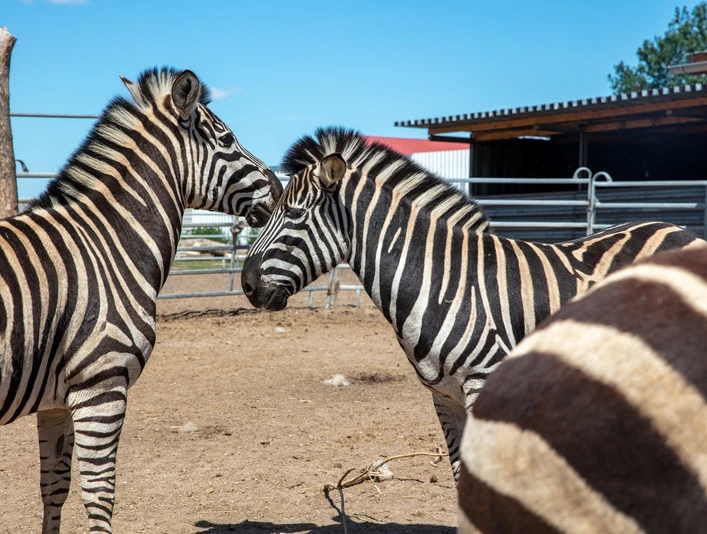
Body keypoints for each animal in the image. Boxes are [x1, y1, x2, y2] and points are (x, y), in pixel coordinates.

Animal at [0, 67, 282, 533]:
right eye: (227, 139)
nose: (279, 189)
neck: (109, 245)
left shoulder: (56, 401)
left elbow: (54, 488)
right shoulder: (101, 389)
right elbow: (100, 496)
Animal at [240, 127, 703, 479]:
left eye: (294, 215)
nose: (245, 284)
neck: (438, 280)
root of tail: (680, 229)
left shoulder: (484, 380)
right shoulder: (443, 398)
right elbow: (460, 472)